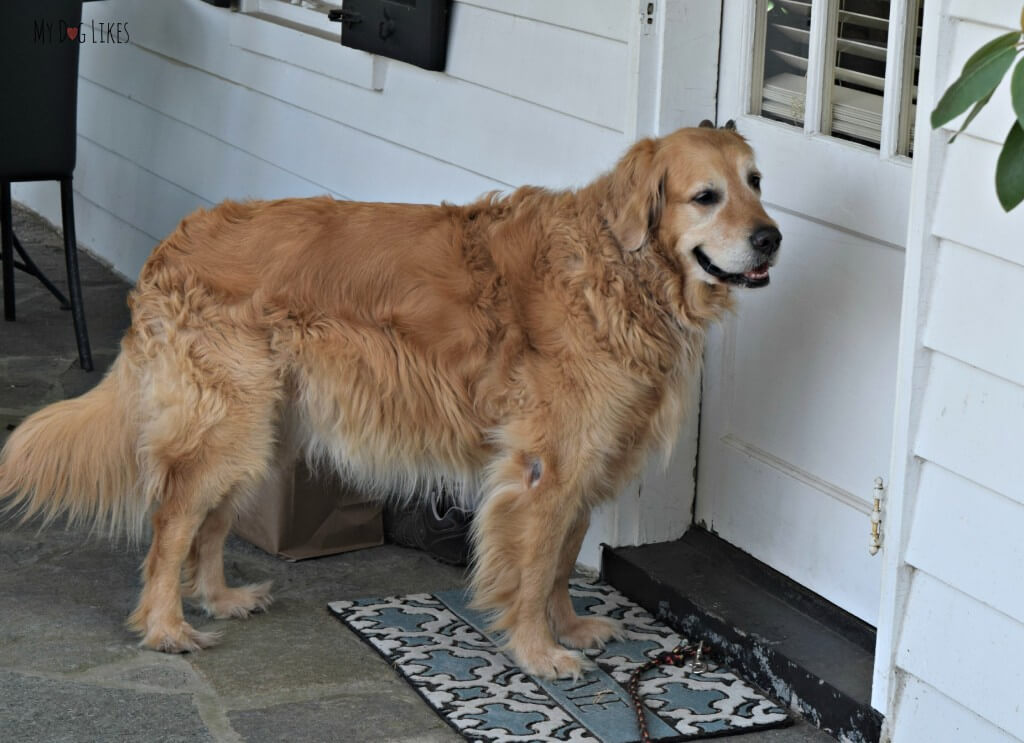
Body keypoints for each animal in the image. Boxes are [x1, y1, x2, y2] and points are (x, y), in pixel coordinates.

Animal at [4, 120, 778, 679]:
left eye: (757, 182)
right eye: (705, 196)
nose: (770, 236)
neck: (620, 270)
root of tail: (172, 243)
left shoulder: (585, 463)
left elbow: (561, 561)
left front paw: (570, 626)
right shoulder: (543, 471)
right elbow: (531, 570)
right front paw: (538, 651)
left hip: (265, 431)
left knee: (212, 525)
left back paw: (222, 598)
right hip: (227, 425)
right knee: (170, 523)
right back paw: (167, 627)